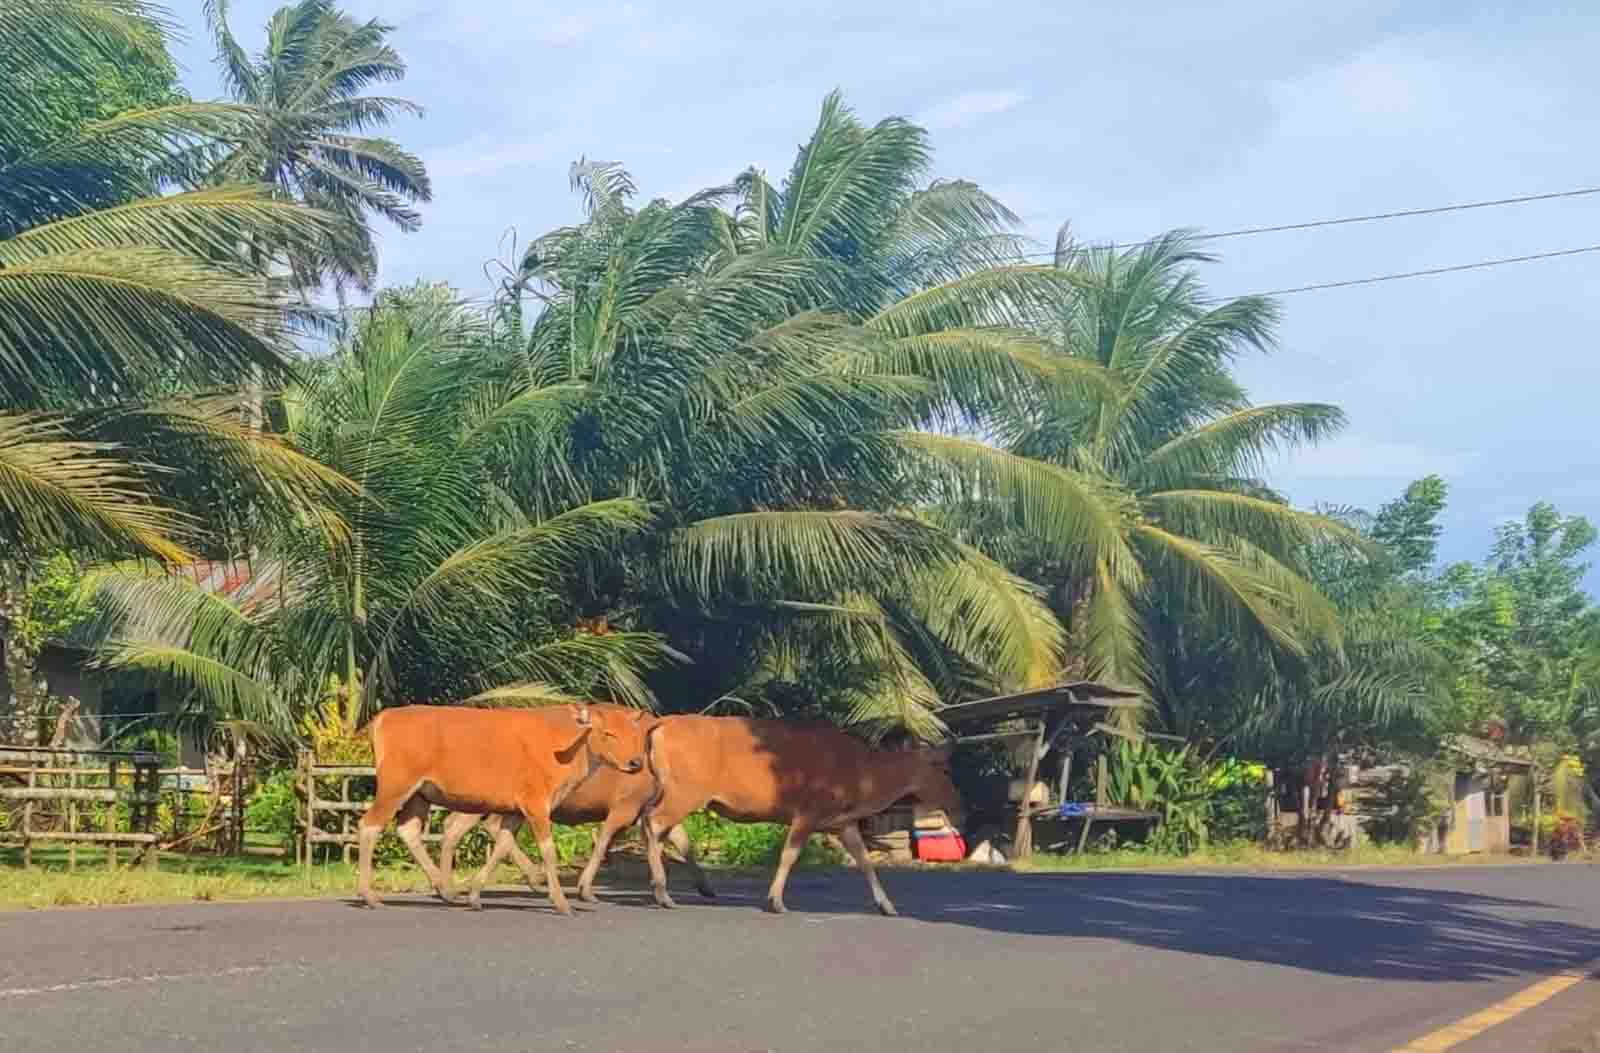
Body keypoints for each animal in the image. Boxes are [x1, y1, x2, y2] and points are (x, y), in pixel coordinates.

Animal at [356, 700, 643, 915]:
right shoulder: (536, 804)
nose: (635, 763)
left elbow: (503, 844)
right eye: (608, 733)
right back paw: (370, 896)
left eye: (635, 734)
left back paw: (447, 891)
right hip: (395, 785)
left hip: (419, 793)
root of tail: (382, 718)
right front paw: (561, 902)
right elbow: (548, 851)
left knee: (409, 829)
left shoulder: (516, 810)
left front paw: (474, 895)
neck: (565, 748)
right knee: (369, 825)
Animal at [636, 716, 960, 915]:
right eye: (943, 769)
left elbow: (865, 861)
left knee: (663, 826)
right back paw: (663, 892)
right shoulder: (808, 811)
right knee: (654, 821)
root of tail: (659, 726)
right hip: (687, 790)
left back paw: (697, 888)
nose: (958, 799)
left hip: (679, 791)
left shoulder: (843, 822)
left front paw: (887, 905)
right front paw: (776, 901)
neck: (862, 776)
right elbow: (789, 855)